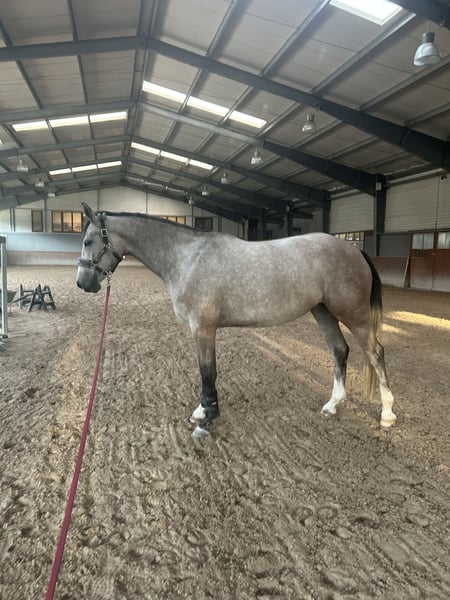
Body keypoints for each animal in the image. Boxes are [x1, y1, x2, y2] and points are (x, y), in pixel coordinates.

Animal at [76, 203, 396, 438]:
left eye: (88, 240)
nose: (82, 283)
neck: (187, 258)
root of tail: (353, 249)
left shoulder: (203, 329)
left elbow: (208, 373)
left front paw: (206, 420)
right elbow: (205, 373)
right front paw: (201, 411)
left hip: (353, 314)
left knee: (376, 352)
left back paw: (387, 414)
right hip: (323, 311)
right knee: (339, 351)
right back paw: (332, 404)